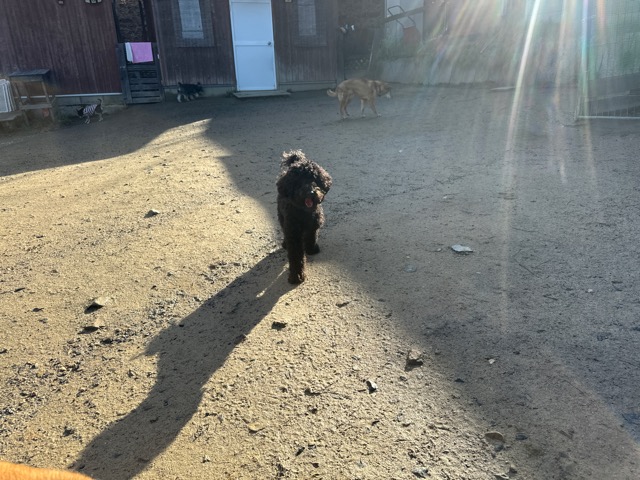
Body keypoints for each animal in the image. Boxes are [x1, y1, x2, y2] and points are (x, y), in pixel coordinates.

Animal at [277, 150, 332, 284]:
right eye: (298, 181)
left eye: (314, 178)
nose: (311, 192)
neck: (304, 211)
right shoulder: (293, 234)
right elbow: (296, 257)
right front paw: (296, 276)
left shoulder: (313, 226)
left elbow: (311, 238)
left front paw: (311, 249)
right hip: (281, 216)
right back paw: (285, 244)